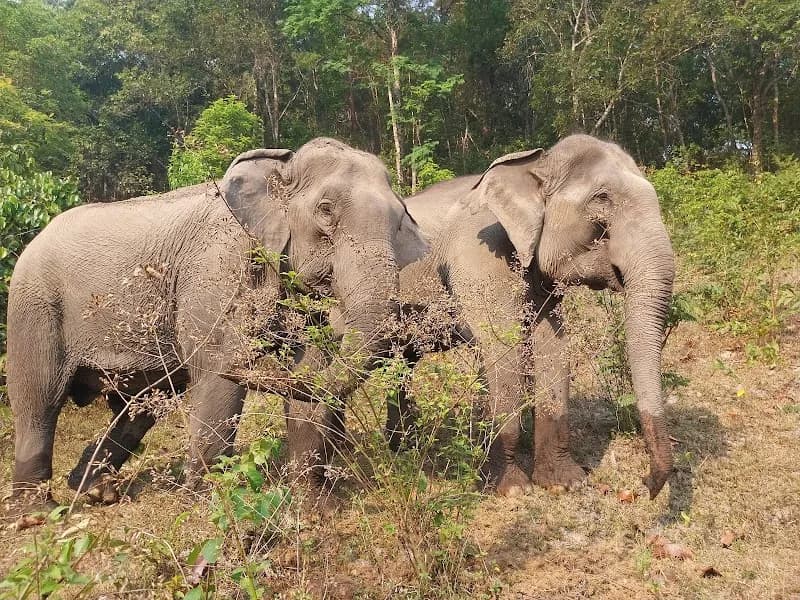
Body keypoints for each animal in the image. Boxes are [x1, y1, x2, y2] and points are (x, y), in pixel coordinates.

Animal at [4, 137, 427, 513]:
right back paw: (35, 513)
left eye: (400, 222)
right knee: (38, 398)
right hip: (34, 306)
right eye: (326, 211)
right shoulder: (214, 272)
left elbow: (310, 370)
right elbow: (215, 373)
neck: (281, 165)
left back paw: (95, 491)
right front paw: (206, 506)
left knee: (139, 407)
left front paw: (313, 506)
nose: (252, 364)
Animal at [286, 134, 675, 500]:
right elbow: (501, 349)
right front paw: (512, 489)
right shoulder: (477, 253)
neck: (534, 165)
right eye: (602, 199)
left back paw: (397, 450)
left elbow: (553, 348)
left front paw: (565, 483)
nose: (646, 486)